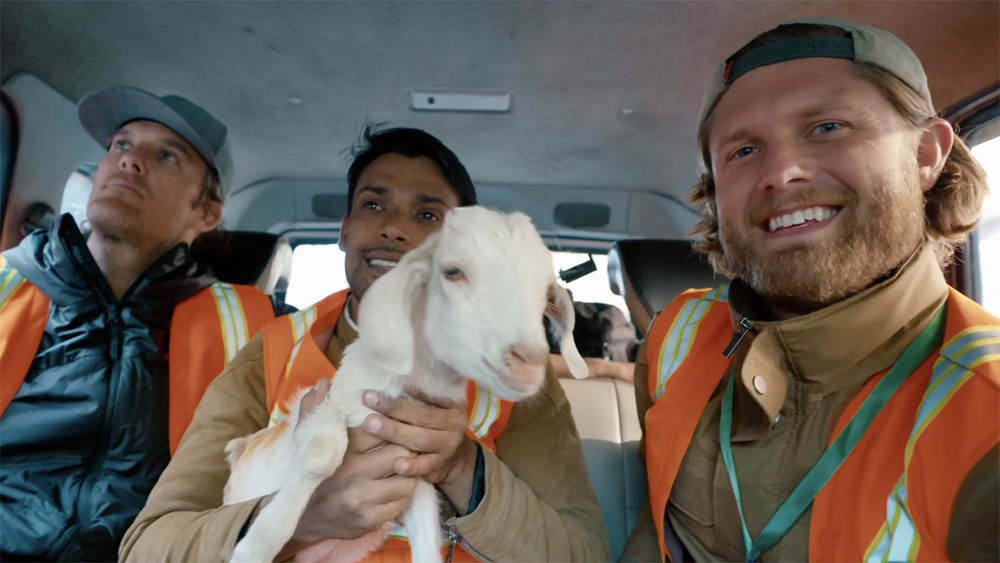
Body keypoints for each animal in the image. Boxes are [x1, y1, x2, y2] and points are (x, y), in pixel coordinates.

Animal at [223, 207, 588, 563]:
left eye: (545, 291)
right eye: (453, 271)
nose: (529, 360)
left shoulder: (414, 477)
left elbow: (428, 539)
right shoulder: (322, 405)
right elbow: (323, 453)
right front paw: (257, 545)